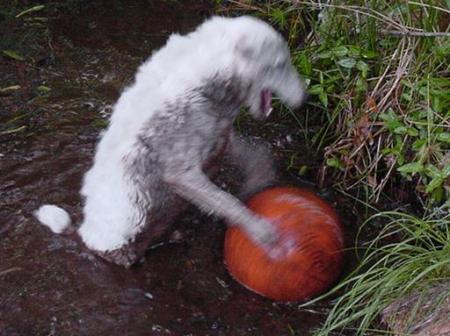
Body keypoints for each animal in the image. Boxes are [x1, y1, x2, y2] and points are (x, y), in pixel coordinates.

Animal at [33, 16, 304, 268]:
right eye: (280, 65)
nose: (305, 98)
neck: (214, 75)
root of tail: (83, 233)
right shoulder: (182, 174)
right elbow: (230, 204)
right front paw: (265, 234)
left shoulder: (219, 137)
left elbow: (256, 155)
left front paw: (260, 180)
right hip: (125, 242)